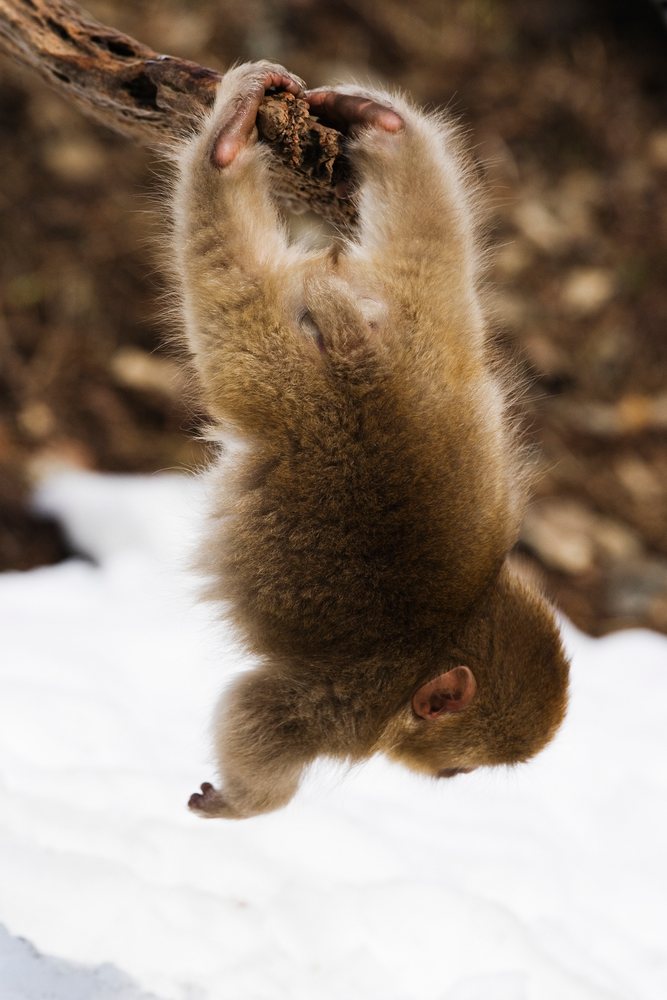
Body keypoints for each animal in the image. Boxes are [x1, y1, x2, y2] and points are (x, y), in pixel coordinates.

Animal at [171, 61, 570, 819]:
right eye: (459, 771)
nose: (449, 780)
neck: (452, 628)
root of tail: (368, 367)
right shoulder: (346, 711)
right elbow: (262, 716)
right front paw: (241, 803)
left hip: (429, 330)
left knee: (430, 232)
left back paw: (380, 126)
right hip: (283, 375)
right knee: (227, 280)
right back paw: (227, 150)